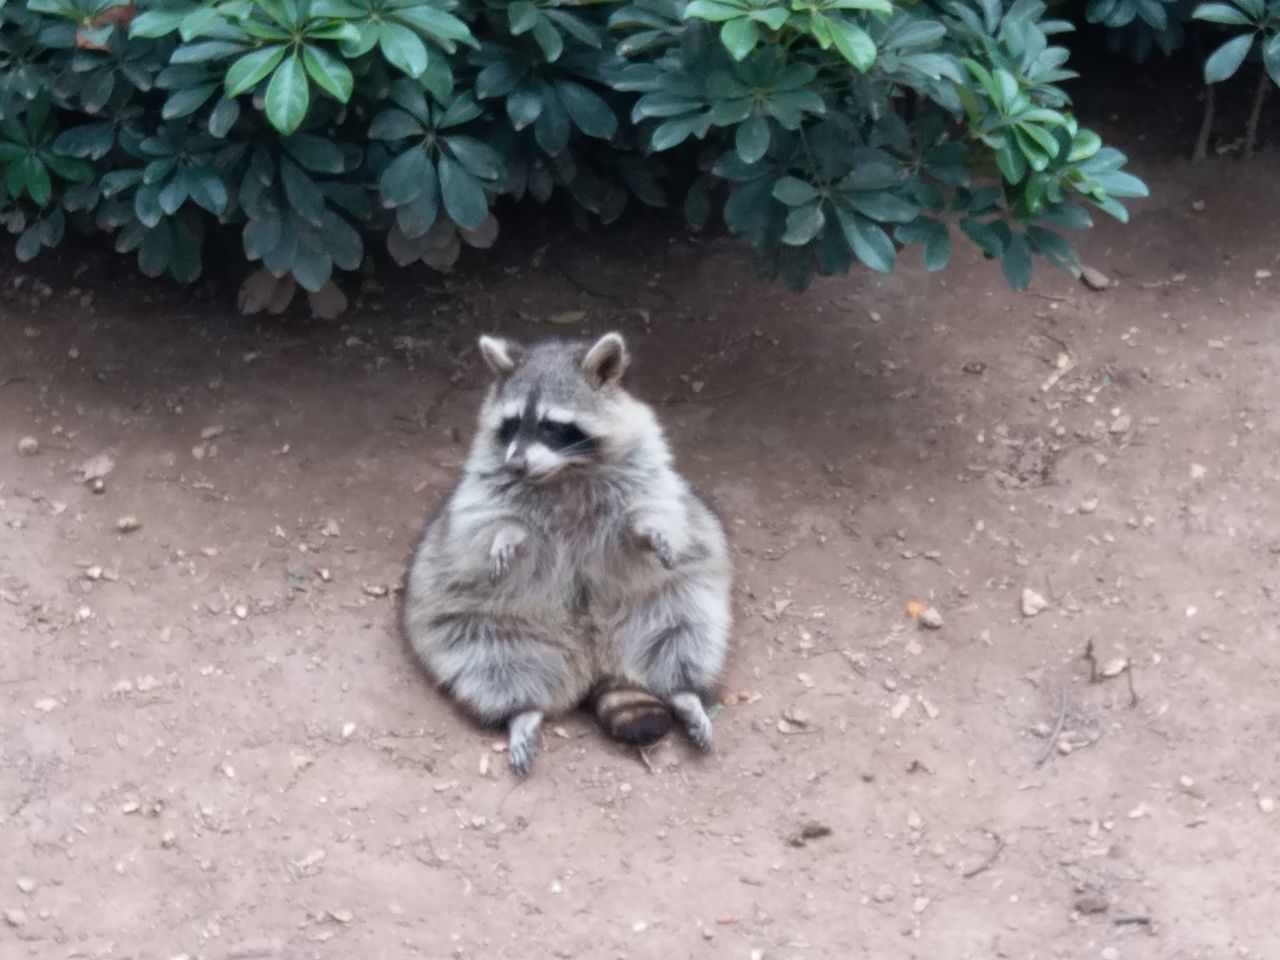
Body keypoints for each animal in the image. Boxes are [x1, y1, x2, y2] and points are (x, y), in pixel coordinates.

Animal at [404, 330, 737, 773]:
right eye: (512, 424)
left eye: (552, 426)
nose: (517, 465)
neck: (563, 472)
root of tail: (595, 661)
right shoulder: (486, 479)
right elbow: (482, 520)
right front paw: (506, 535)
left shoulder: (644, 464)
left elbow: (653, 507)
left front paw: (650, 527)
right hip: (473, 620)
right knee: (487, 660)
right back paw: (521, 712)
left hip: (674, 594)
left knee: (687, 627)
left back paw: (684, 692)